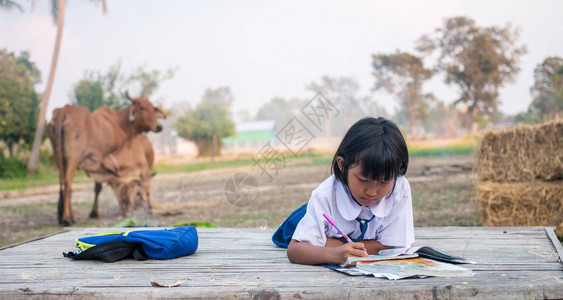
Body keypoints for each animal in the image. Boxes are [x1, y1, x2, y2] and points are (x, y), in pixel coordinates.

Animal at [48, 92, 165, 224]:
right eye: (142, 107)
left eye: (153, 108)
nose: (159, 127)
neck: (120, 123)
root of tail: (64, 110)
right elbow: (110, 186)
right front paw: (96, 212)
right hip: (73, 158)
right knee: (68, 184)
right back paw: (67, 218)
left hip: (58, 157)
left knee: (62, 183)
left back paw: (65, 216)